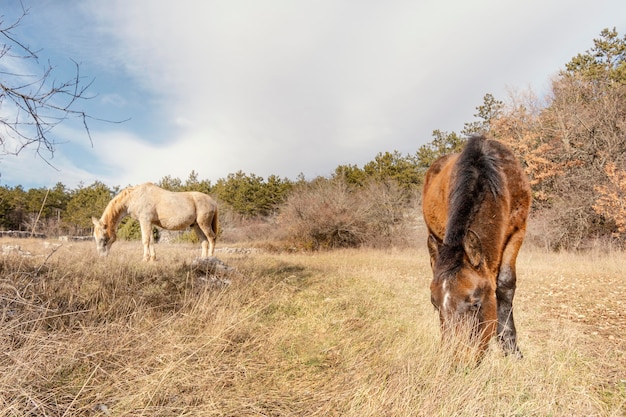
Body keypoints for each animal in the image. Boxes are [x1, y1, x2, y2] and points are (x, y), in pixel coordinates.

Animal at [422, 136, 528, 358]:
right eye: (435, 305)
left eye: (476, 303)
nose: (455, 356)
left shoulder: (518, 230)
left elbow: (505, 284)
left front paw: (510, 346)